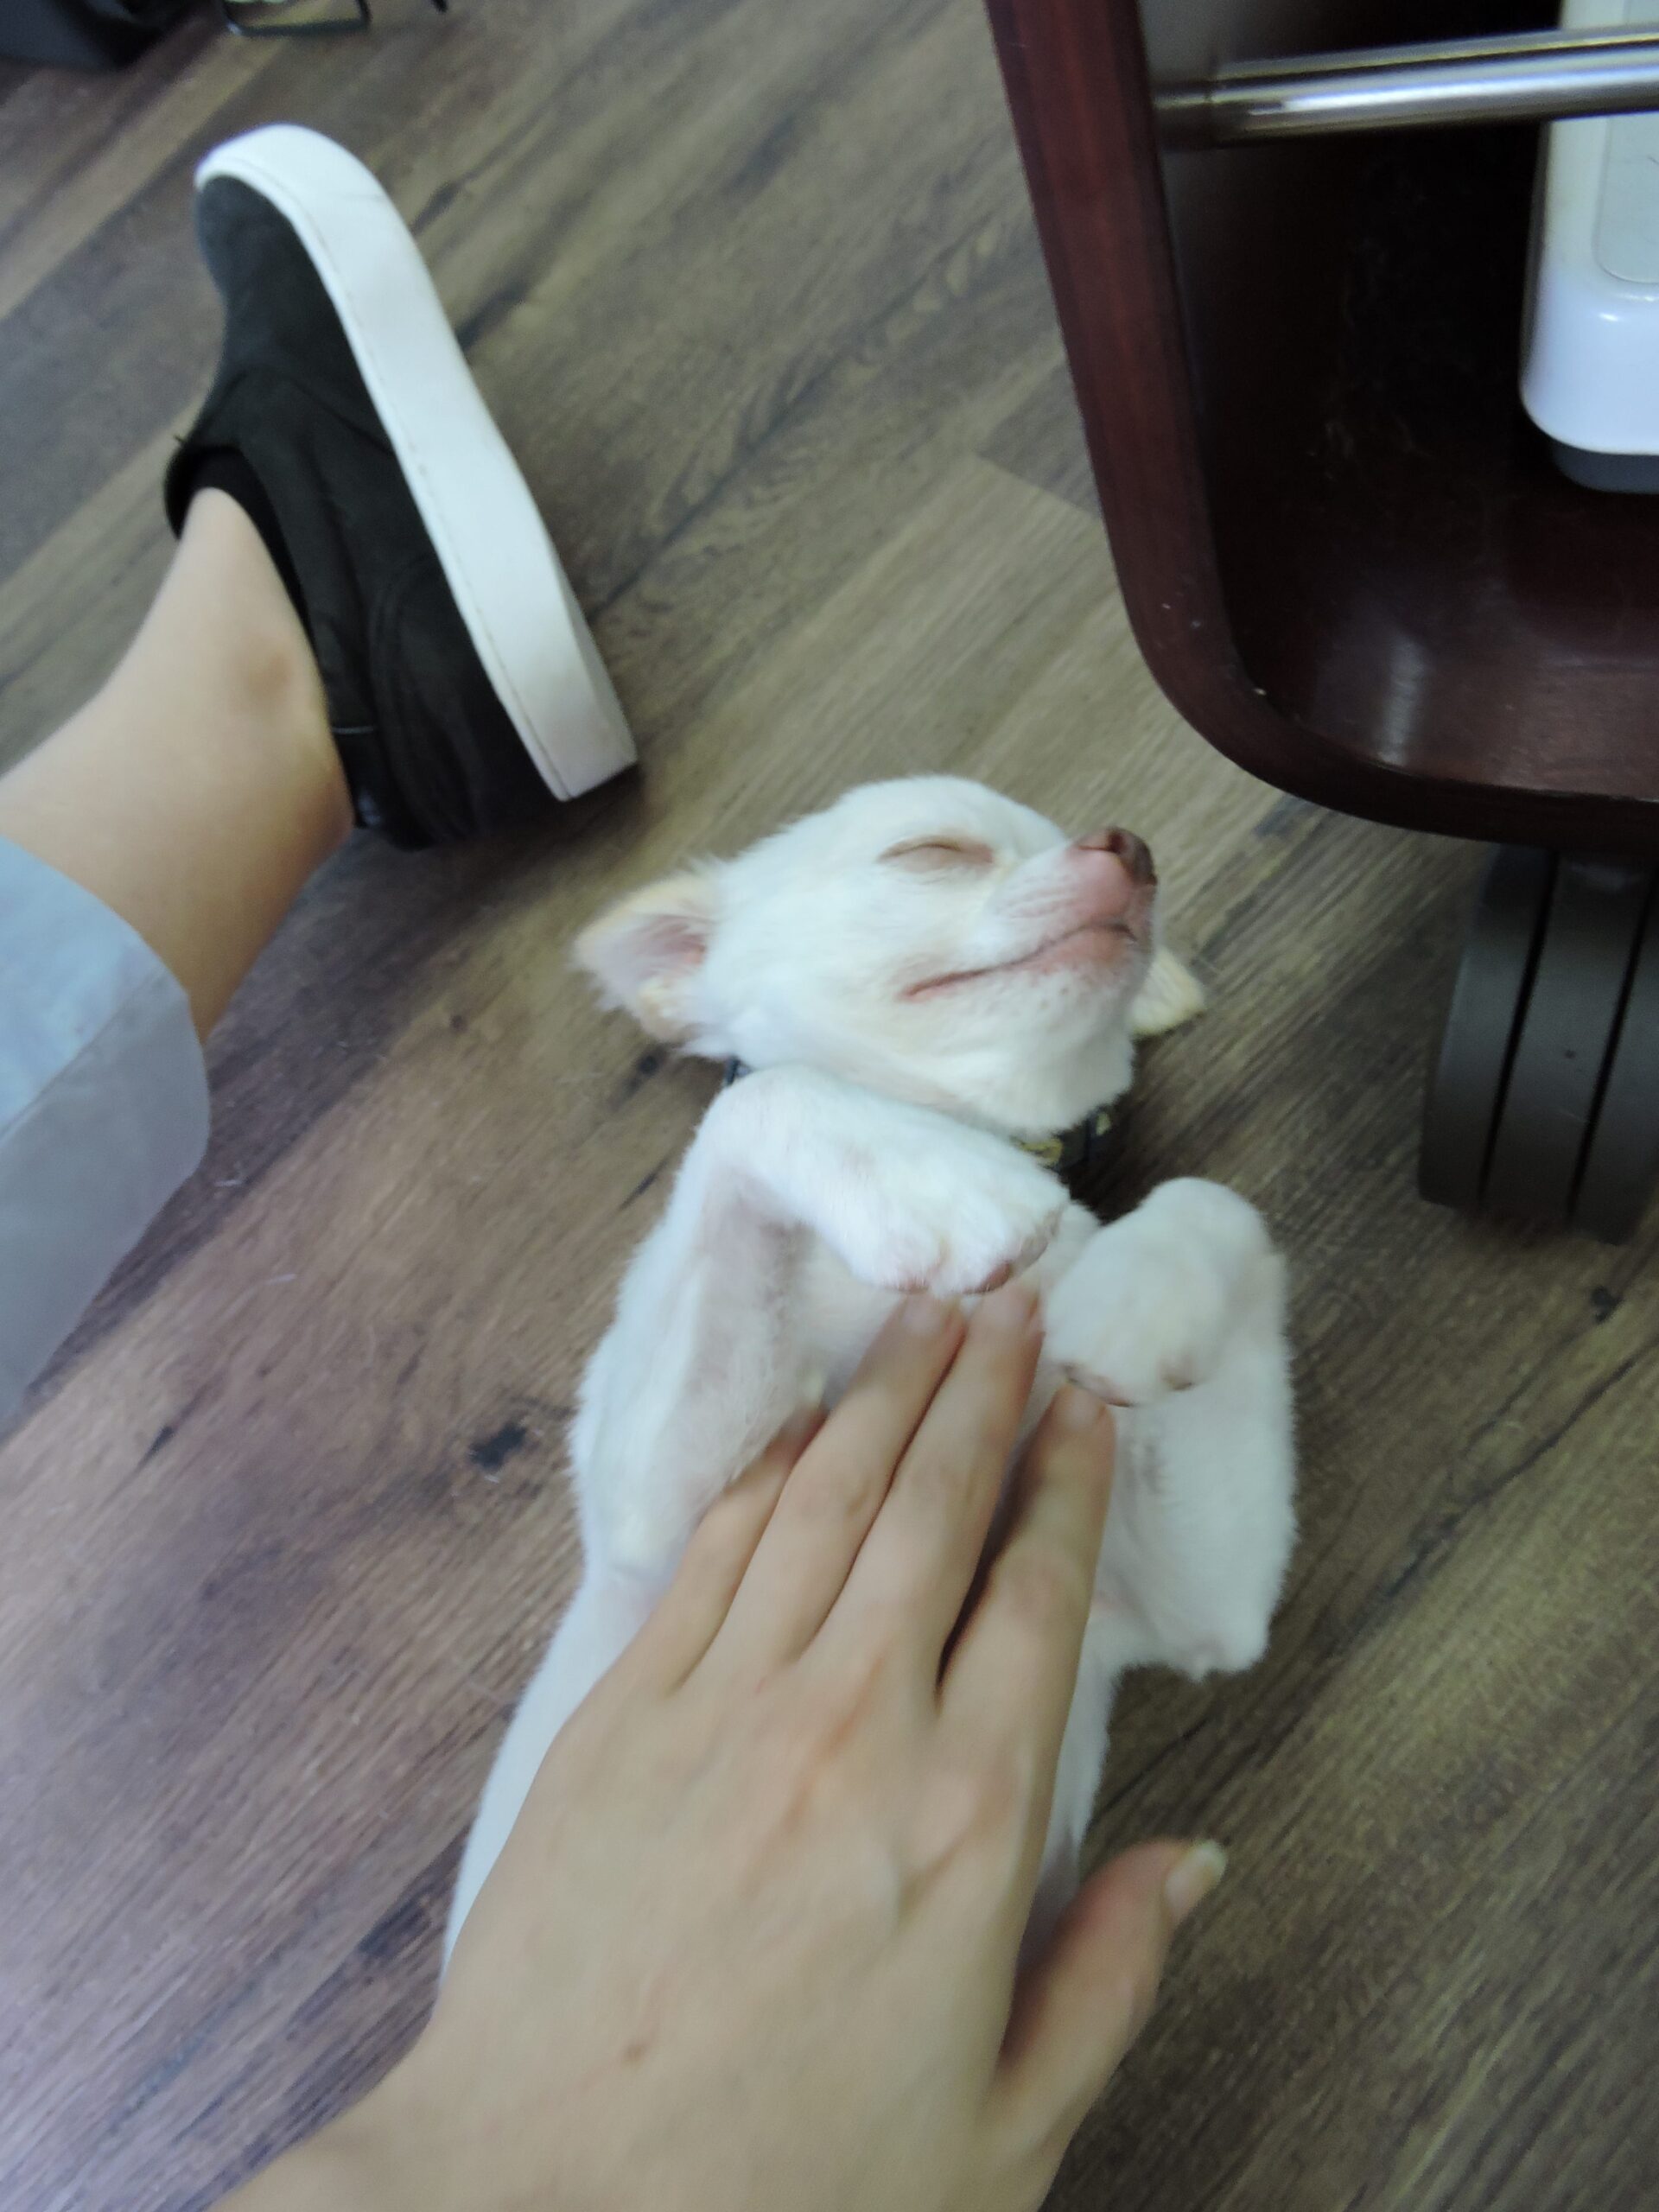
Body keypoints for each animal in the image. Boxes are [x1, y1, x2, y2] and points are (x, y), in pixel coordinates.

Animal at [446, 776, 1295, 1956]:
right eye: (933, 852)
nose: (1133, 849)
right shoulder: (651, 1520)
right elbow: (759, 1098)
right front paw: (933, 1183)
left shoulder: (1204, 1603)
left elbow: (1218, 1204)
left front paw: (1140, 1287)